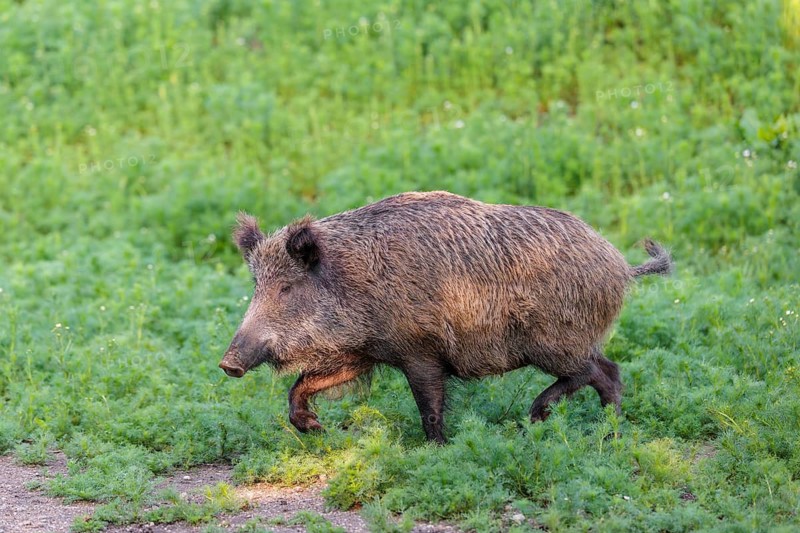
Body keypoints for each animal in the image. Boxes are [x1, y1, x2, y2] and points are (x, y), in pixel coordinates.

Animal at [219, 191, 672, 443]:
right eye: (256, 285)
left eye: (286, 288)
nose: (228, 364)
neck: (353, 280)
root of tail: (621, 266)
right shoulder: (363, 352)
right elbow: (304, 383)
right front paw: (314, 429)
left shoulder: (420, 352)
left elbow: (430, 406)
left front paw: (438, 450)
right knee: (609, 372)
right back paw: (609, 431)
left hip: (553, 341)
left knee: (593, 370)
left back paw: (537, 417)